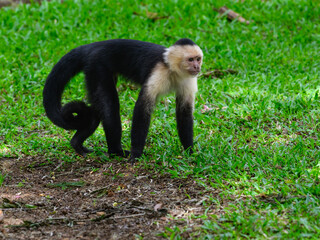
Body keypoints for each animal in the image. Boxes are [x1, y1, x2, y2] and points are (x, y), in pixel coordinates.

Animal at [43, 38, 202, 162]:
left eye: (198, 59)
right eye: (190, 59)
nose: (197, 67)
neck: (172, 70)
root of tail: (93, 46)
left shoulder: (188, 79)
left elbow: (184, 112)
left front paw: (189, 150)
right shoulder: (158, 72)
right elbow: (142, 108)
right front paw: (136, 154)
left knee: (95, 111)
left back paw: (77, 143)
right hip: (97, 65)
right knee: (109, 105)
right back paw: (116, 151)